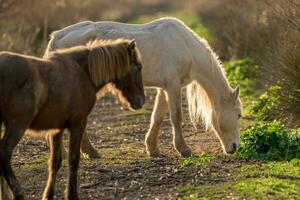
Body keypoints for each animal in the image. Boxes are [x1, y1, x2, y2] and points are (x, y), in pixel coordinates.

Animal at [0, 38, 145, 199]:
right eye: (139, 67)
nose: (141, 101)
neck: (82, 73)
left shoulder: (56, 129)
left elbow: (55, 162)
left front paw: (48, 195)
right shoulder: (78, 125)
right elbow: (73, 160)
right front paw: (71, 194)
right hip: (17, 126)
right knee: (4, 154)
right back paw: (17, 193)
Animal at [44, 17, 241, 157]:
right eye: (239, 115)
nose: (235, 147)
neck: (184, 45)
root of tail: (58, 36)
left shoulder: (165, 89)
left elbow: (158, 117)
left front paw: (152, 149)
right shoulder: (173, 86)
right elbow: (176, 117)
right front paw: (184, 149)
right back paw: (88, 152)